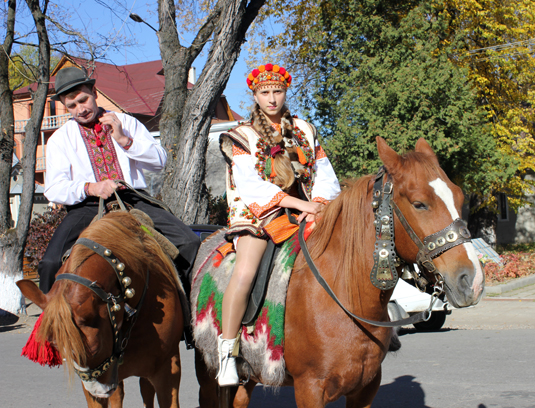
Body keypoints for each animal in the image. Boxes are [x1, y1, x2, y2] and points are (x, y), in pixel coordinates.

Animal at [196, 138, 486, 408]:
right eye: (419, 204)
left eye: (460, 197)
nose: (472, 282)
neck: (345, 297)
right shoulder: (310, 388)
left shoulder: (366, 387)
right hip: (208, 372)